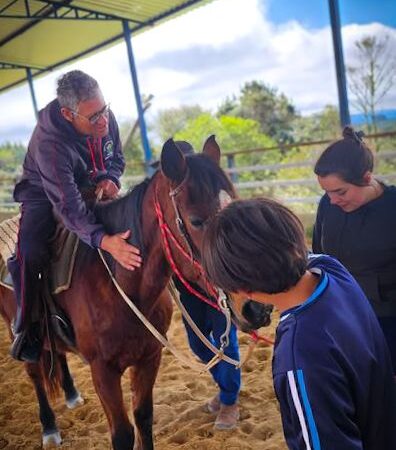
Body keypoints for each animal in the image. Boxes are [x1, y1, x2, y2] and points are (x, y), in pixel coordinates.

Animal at [0, 136, 238, 450]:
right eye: (196, 221)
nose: (254, 308)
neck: (123, 286)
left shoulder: (150, 357)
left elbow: (144, 418)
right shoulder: (103, 371)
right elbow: (122, 434)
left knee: (57, 354)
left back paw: (71, 394)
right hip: (17, 329)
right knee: (35, 374)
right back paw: (49, 427)